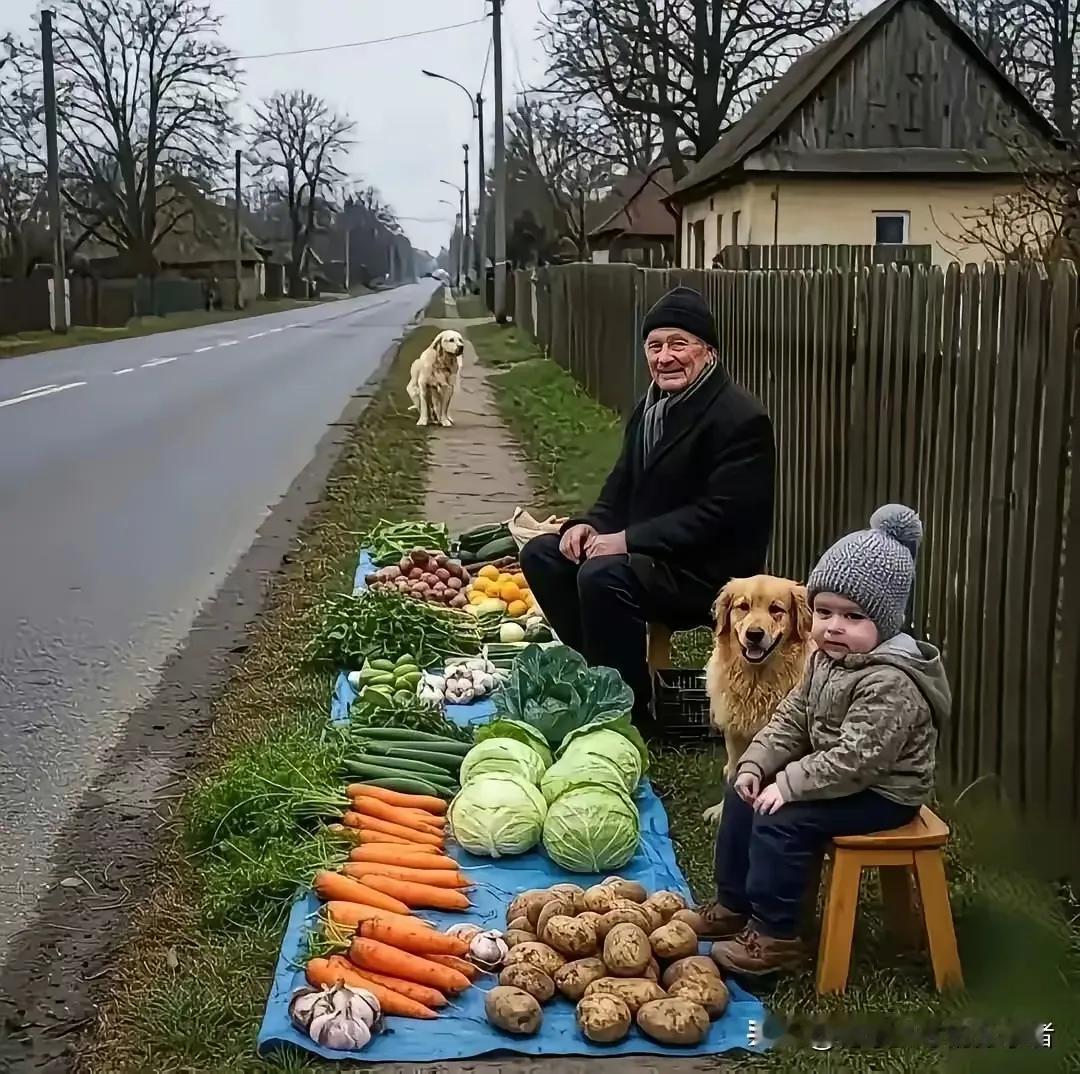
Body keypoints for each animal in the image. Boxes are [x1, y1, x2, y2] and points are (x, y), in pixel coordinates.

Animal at [699, 579, 812, 821]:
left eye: (776, 609)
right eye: (743, 606)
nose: (754, 634)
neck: (757, 681)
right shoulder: (735, 736)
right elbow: (734, 775)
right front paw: (721, 811)